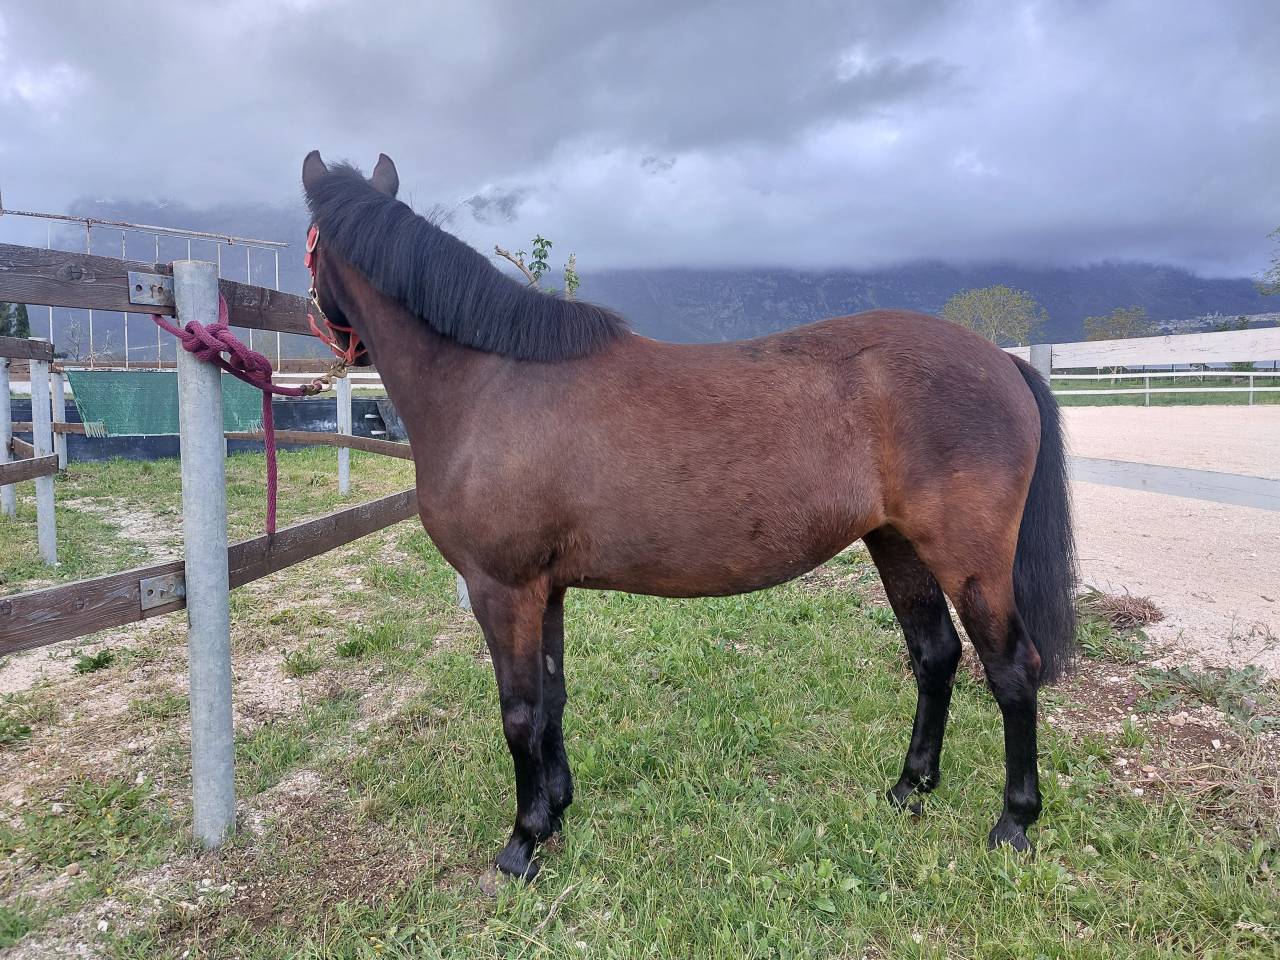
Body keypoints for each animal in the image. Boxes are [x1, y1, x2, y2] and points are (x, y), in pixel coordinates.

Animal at [300, 150, 1077, 881]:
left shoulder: (503, 588)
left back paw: (1014, 822)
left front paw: (521, 844)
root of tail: (1001, 362)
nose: (328, 334)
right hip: (898, 544)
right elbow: (552, 699)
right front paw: (555, 811)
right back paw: (910, 788)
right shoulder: (544, 591)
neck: (491, 383)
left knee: (1012, 670)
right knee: (936, 656)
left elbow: (519, 713)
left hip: (967, 558)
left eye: (306, 246)